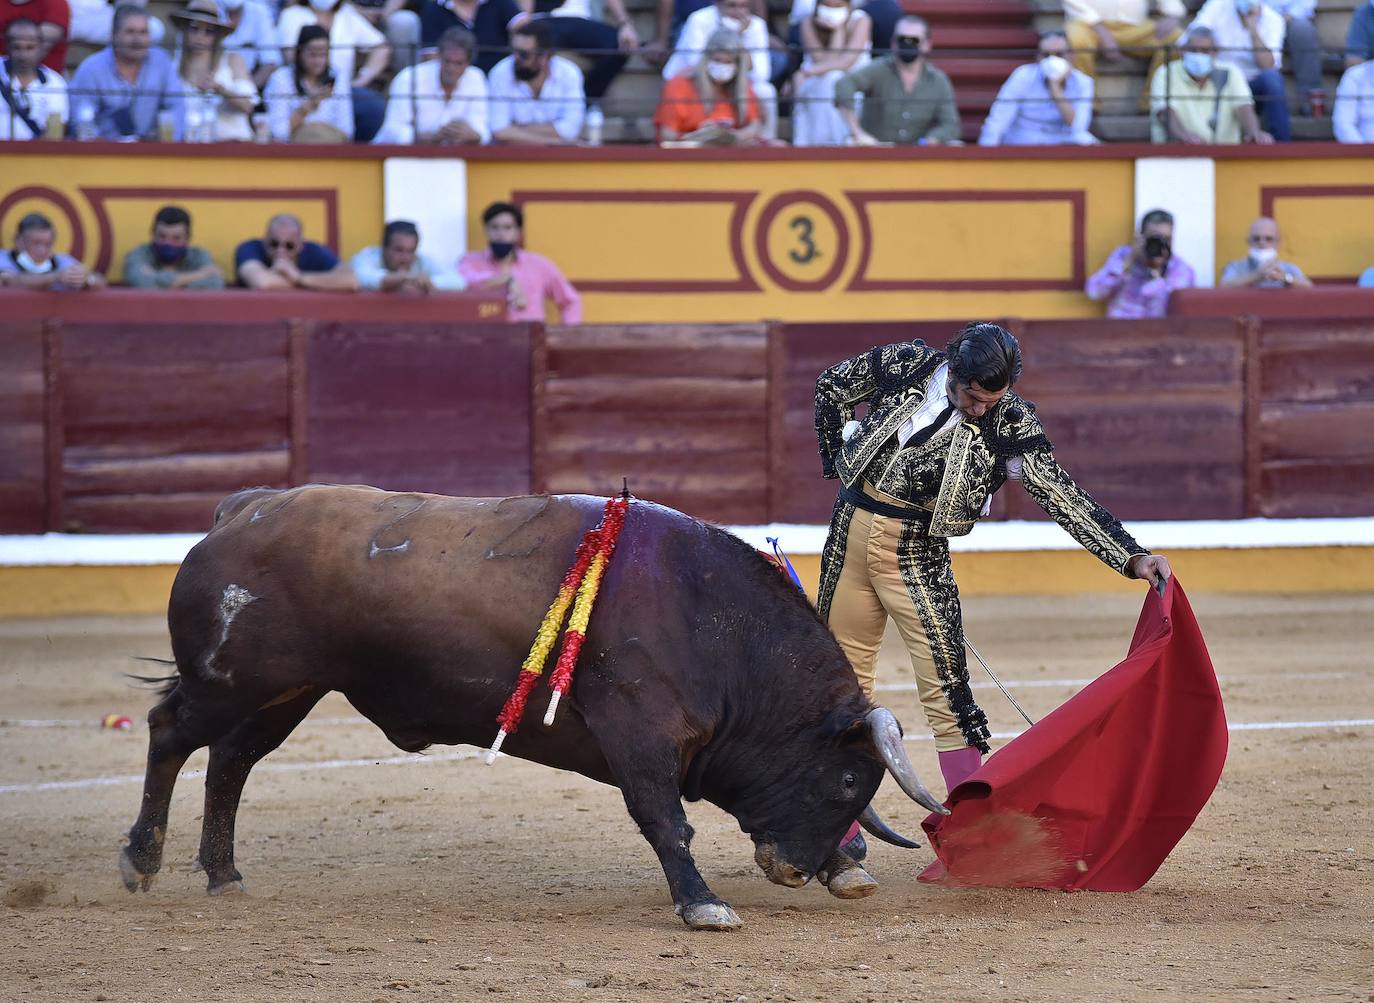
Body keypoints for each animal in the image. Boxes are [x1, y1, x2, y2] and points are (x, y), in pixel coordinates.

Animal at [120, 483, 945, 928]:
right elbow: (666, 821)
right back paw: (141, 861)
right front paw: (704, 904)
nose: (794, 869)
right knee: (170, 732)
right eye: (847, 780)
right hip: (232, 682)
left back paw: (224, 873)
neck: (710, 617)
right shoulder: (640, 734)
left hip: (286, 690)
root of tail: (244, 507)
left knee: (230, 761)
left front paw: (844, 865)